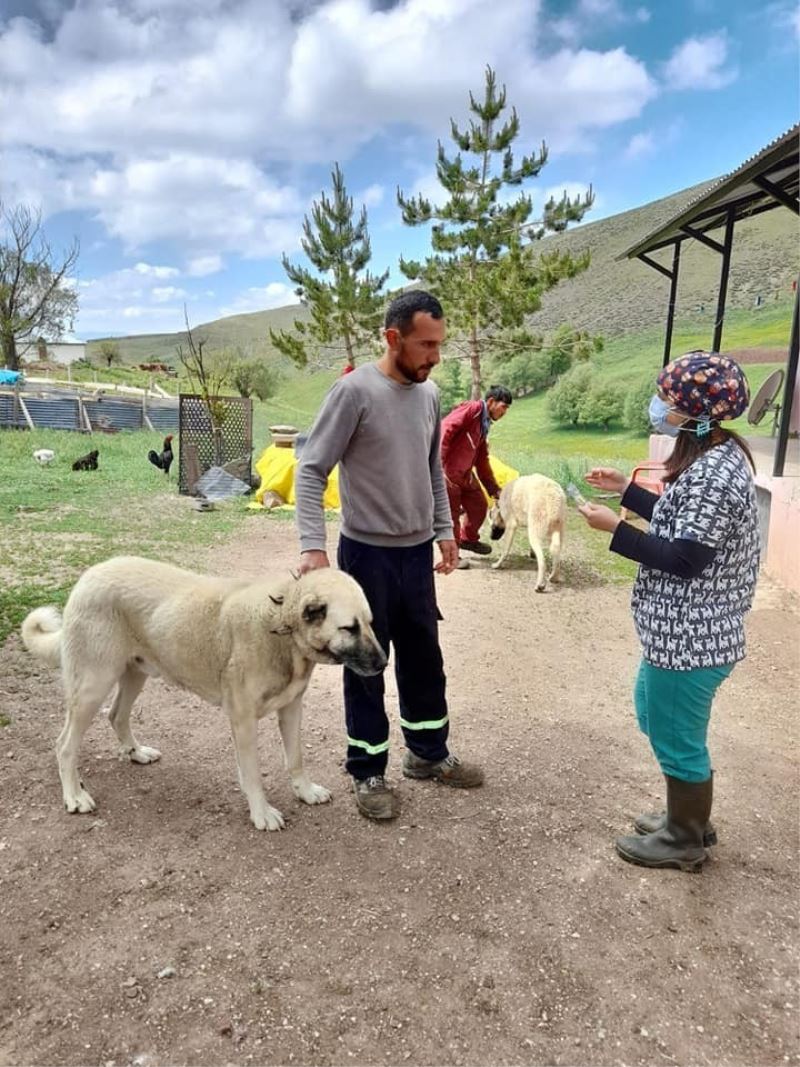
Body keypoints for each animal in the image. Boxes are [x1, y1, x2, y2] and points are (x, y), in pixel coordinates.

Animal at [21, 559, 388, 832]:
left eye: (370, 623)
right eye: (349, 628)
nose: (384, 663)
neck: (280, 626)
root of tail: (89, 576)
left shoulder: (291, 708)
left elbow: (295, 759)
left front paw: (306, 792)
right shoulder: (242, 720)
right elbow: (253, 773)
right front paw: (261, 812)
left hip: (135, 674)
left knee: (116, 715)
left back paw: (136, 752)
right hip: (92, 686)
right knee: (64, 745)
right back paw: (74, 797)